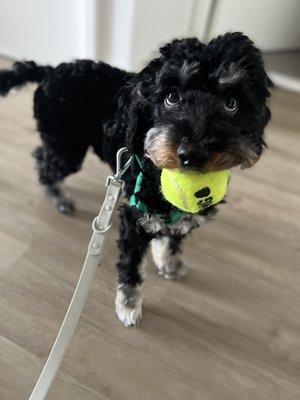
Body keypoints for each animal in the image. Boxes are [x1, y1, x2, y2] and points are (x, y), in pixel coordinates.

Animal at [0, 33, 272, 324]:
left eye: (231, 103)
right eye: (171, 97)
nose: (191, 154)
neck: (156, 175)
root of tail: (49, 71)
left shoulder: (182, 214)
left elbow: (174, 236)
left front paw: (169, 262)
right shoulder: (134, 219)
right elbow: (130, 267)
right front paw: (129, 305)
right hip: (67, 147)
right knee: (43, 162)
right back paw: (59, 196)